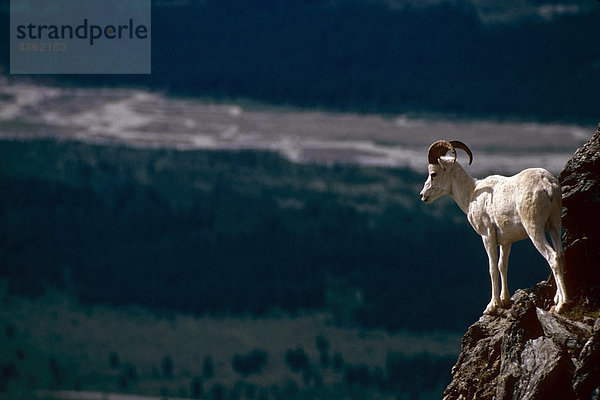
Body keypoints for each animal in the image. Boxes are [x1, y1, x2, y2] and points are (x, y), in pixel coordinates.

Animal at [418, 139, 568, 314]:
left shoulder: (487, 237)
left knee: (553, 257)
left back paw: (562, 304)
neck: (471, 194)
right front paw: (504, 300)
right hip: (554, 225)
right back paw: (557, 299)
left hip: (534, 229)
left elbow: (492, 269)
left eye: (433, 174)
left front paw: (492, 306)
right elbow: (503, 265)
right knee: (561, 254)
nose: (423, 196)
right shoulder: (506, 241)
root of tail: (547, 184)